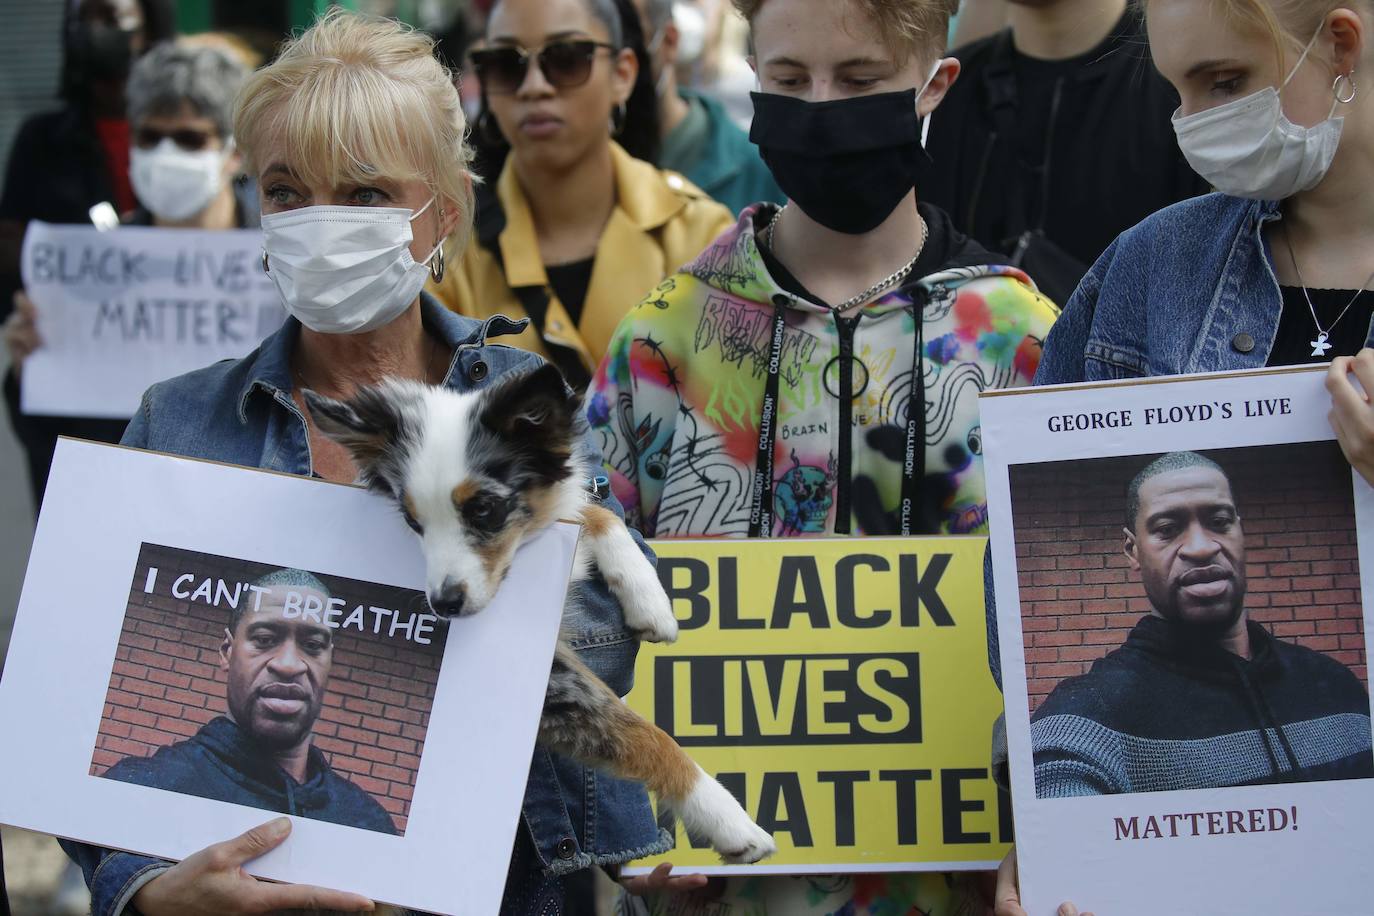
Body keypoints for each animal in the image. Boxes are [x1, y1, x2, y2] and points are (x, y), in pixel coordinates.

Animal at [306, 362, 780, 867]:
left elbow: (596, 510)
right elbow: (646, 735)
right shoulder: (554, 680)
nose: (444, 604)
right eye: (414, 522)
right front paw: (732, 822)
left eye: (485, 509)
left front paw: (649, 599)